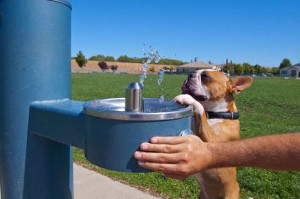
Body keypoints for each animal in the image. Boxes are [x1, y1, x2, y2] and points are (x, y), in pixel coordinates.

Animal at [173, 69, 253, 199]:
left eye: (205, 76)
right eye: (194, 72)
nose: (190, 75)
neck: (217, 113)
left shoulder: (212, 142)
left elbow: (200, 110)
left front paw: (189, 99)